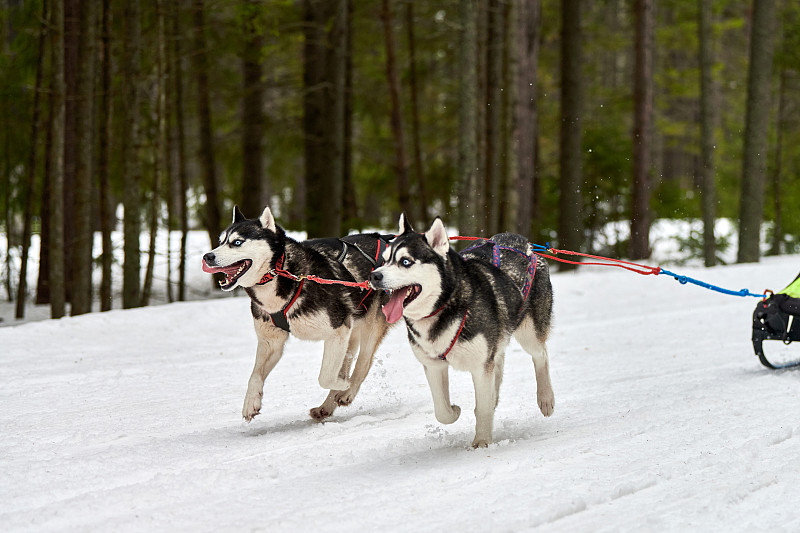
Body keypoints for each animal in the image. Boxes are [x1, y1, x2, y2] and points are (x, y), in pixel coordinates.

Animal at [203, 206, 390, 422]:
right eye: (220, 241)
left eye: (237, 242)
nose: (207, 256)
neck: (284, 274)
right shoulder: (271, 342)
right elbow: (255, 376)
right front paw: (251, 402)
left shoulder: (337, 330)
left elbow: (325, 376)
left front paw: (342, 385)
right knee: (349, 361)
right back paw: (326, 406)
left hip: (370, 327)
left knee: (363, 363)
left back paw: (346, 392)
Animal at [370, 214, 552, 446]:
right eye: (385, 259)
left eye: (405, 262)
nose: (374, 276)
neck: (444, 307)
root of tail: (521, 243)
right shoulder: (433, 365)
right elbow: (442, 412)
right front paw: (454, 411)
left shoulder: (481, 366)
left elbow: (482, 408)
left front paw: (482, 442)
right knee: (499, 364)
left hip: (529, 334)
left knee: (541, 355)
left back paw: (546, 398)